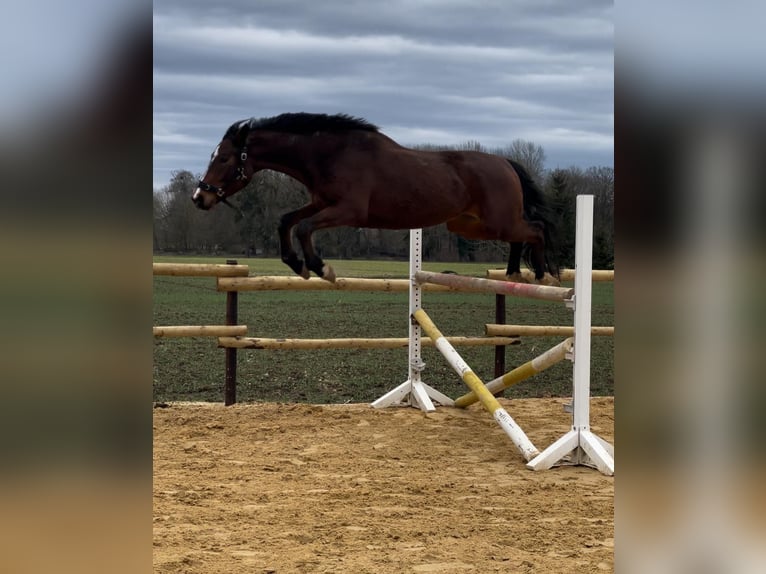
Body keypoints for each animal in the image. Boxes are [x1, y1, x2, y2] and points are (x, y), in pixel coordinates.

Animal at [195, 112, 560, 286]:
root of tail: (506, 163)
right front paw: (298, 265)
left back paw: (543, 274)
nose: (200, 197)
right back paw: (514, 274)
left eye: (224, 158)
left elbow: (303, 228)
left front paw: (320, 268)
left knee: (536, 230)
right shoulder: (322, 203)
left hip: (496, 222)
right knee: (522, 235)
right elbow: (286, 221)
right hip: (471, 227)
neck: (331, 153)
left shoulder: (349, 211)